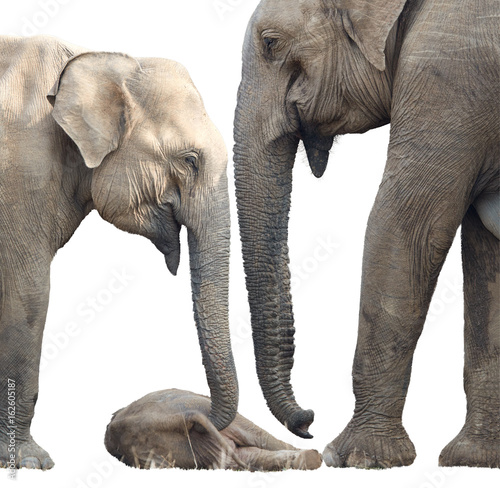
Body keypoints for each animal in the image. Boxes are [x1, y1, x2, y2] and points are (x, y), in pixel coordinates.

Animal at [234, 0, 500, 468]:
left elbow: (404, 222)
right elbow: (485, 252)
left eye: (271, 43)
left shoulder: (452, 71)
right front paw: (474, 460)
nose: (308, 421)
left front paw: (355, 458)